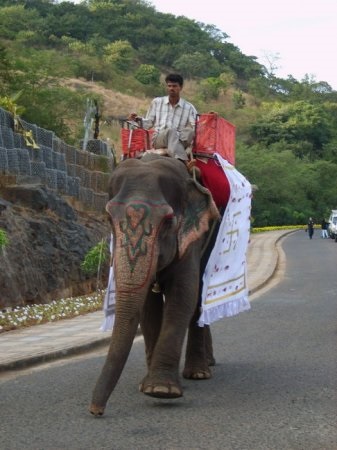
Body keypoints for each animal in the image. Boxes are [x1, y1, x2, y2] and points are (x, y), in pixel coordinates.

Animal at [89, 155, 220, 418]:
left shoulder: (191, 237)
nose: (95, 410)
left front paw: (161, 390)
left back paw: (199, 373)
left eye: (168, 221)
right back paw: (207, 364)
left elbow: (183, 293)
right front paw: (146, 385)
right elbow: (148, 305)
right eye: (108, 219)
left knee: (199, 293)